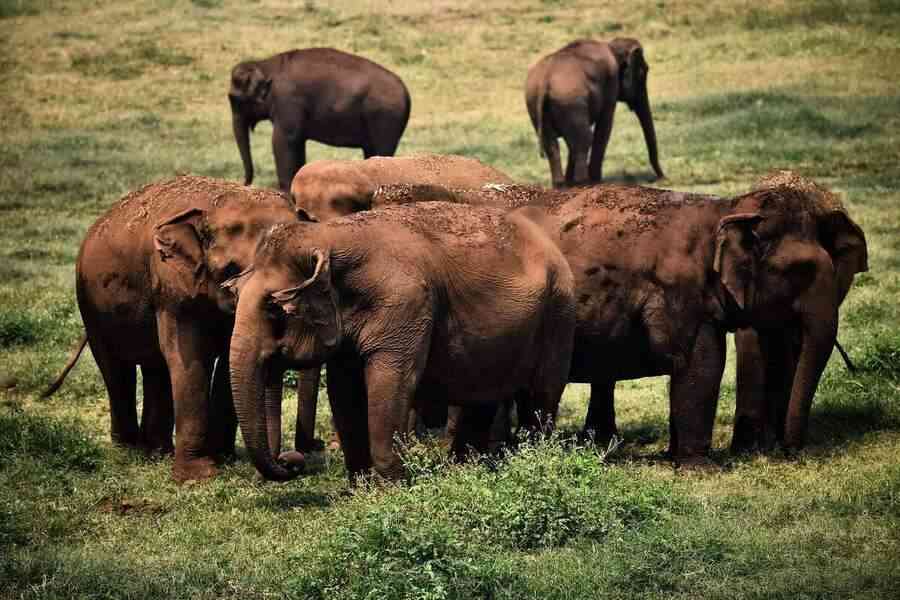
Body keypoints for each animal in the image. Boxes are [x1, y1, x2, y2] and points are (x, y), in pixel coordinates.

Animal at [43, 176, 301, 482]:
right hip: (91, 304)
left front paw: (223, 459)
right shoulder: (170, 282)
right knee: (116, 368)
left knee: (155, 368)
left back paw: (157, 451)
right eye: (233, 272)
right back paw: (128, 450)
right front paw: (199, 476)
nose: (289, 461)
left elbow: (228, 360)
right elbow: (188, 357)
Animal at [226, 202, 575, 482]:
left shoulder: (406, 305)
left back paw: (533, 457)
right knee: (482, 399)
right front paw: (362, 488)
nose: (291, 461)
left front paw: (395, 484)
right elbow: (344, 390)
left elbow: (390, 382)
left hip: (558, 315)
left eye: (274, 308)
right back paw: (467, 467)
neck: (329, 236)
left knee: (540, 397)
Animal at [229, 47, 411, 191]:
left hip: (385, 119)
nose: (244, 182)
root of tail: (407, 93)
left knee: (382, 152)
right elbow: (297, 144)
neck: (265, 64)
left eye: (234, 99)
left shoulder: (287, 103)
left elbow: (282, 141)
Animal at [525, 38, 664, 188]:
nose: (662, 178)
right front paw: (597, 181)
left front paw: (572, 182)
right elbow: (604, 127)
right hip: (570, 101)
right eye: (642, 73)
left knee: (553, 144)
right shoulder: (611, 82)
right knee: (584, 138)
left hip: (537, 103)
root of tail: (544, 81)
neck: (611, 45)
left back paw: (562, 185)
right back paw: (583, 183)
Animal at [731, 172, 868, 452]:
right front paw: (748, 448)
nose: (792, 452)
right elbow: (750, 341)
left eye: (834, 271)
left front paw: (768, 444)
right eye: (789, 272)